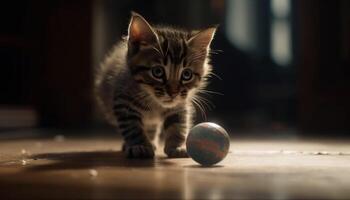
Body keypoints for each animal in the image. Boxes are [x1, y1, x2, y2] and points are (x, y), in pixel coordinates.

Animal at [95, 12, 216, 159]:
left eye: (187, 75)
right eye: (157, 72)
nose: (173, 93)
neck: (155, 103)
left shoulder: (179, 105)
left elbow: (178, 125)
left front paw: (177, 146)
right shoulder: (124, 102)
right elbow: (132, 127)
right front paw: (139, 146)